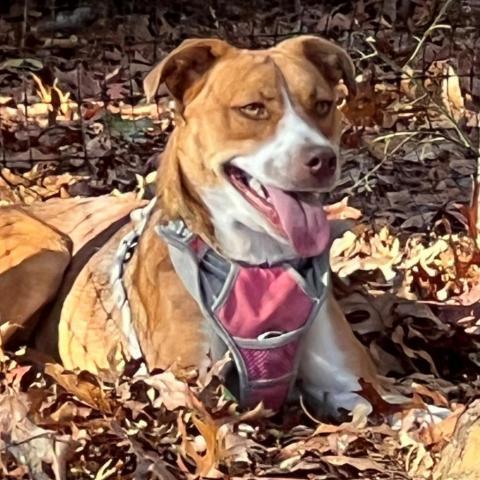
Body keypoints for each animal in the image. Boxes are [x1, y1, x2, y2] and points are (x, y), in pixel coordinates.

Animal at [0, 34, 382, 416]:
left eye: (323, 105)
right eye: (253, 108)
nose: (322, 160)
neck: (259, 260)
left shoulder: (355, 385)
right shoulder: (191, 385)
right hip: (47, 252)